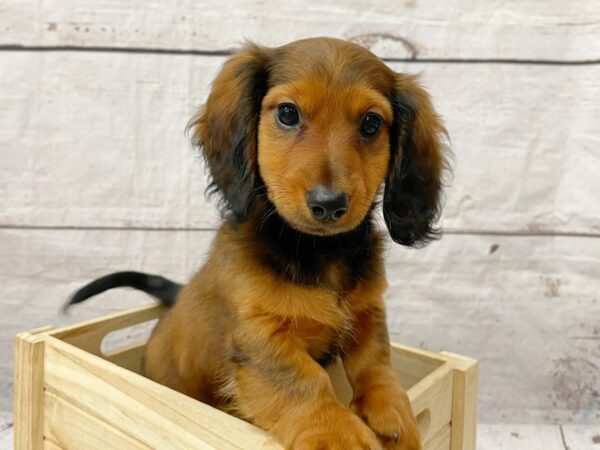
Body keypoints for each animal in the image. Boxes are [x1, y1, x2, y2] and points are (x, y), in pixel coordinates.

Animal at [68, 37, 448, 448]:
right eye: (287, 113)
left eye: (371, 123)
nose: (329, 204)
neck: (316, 251)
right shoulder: (260, 337)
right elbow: (304, 381)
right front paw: (337, 433)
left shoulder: (367, 310)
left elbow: (376, 360)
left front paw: (394, 412)